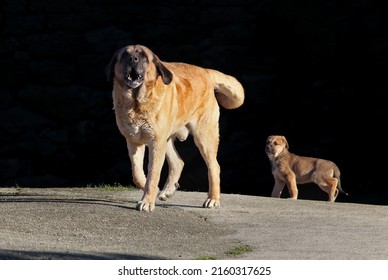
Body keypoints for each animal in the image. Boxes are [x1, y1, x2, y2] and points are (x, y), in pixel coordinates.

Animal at [104, 44, 244, 211]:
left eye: (143, 56)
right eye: (125, 55)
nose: (133, 59)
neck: (137, 102)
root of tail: (206, 72)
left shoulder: (156, 143)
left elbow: (153, 174)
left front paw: (147, 201)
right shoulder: (134, 142)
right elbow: (137, 174)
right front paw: (152, 191)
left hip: (203, 137)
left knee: (214, 167)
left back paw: (213, 199)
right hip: (167, 139)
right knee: (178, 162)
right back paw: (167, 192)